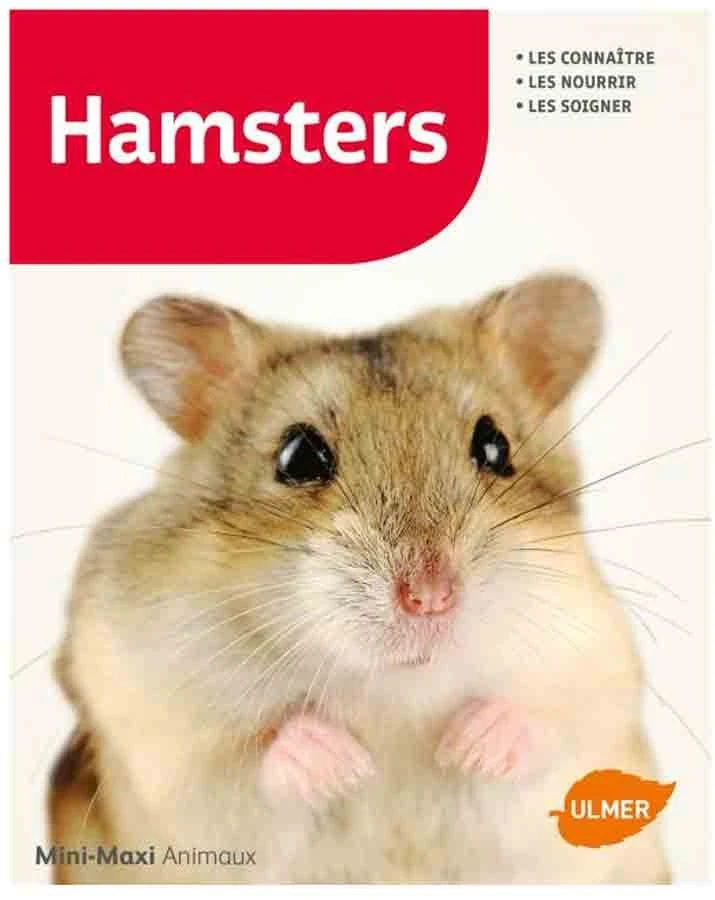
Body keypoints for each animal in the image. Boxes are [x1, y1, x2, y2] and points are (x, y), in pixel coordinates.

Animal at [49, 274, 670, 884]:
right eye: (298, 457)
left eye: (495, 446)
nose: (430, 598)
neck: (395, 694)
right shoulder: (161, 743)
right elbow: (251, 757)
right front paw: (347, 766)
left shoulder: (597, 683)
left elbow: (548, 727)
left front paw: (467, 748)